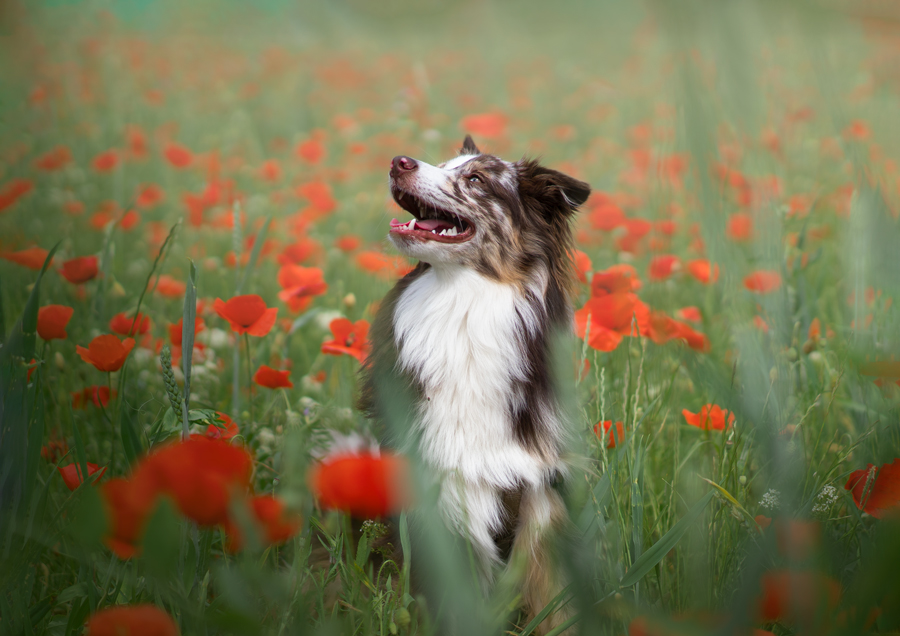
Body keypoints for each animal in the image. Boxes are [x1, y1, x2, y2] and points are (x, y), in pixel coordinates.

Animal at [358, 135, 592, 632]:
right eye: (445, 164)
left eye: (477, 179)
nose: (398, 162)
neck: (462, 304)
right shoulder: (440, 484)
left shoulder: (537, 488)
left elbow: (551, 596)